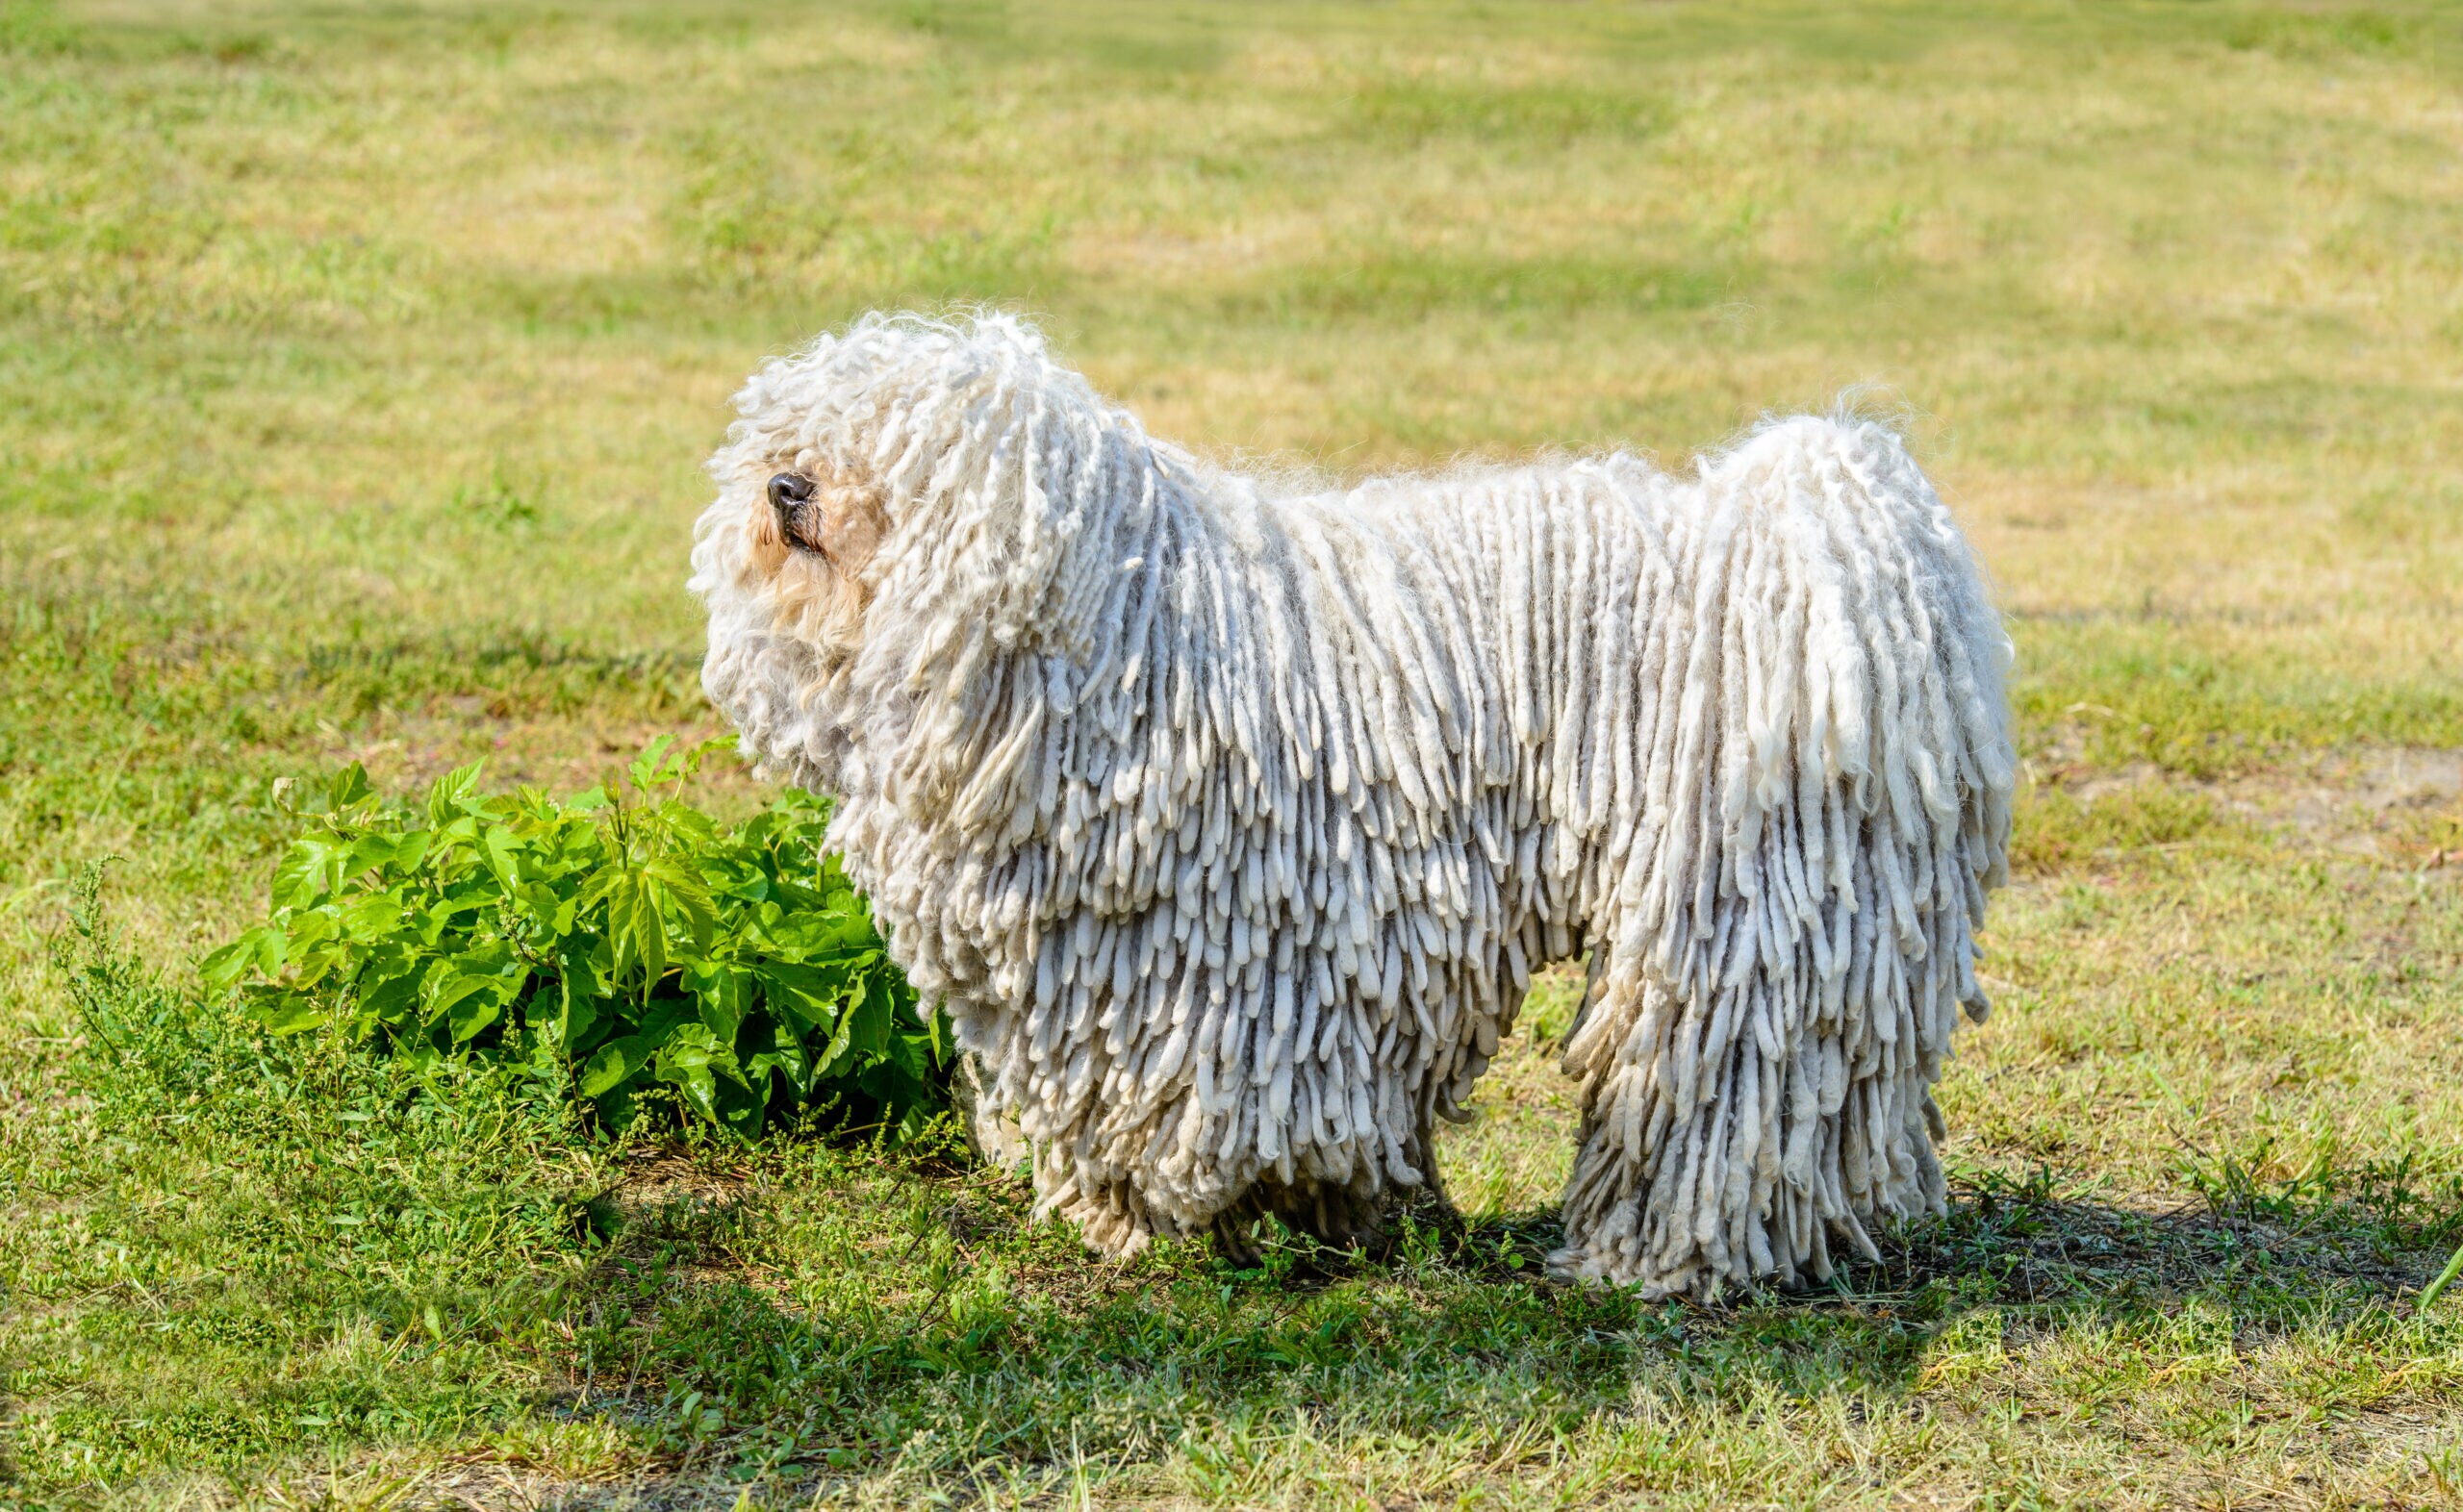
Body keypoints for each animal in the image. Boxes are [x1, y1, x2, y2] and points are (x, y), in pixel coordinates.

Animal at [684, 311, 2009, 1299]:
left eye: (898, 454)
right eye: (797, 430)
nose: (786, 485)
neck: (1110, 632)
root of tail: (1835, 545)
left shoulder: (1226, 958)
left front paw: (1194, 1221)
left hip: (1734, 909)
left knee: (1716, 1087)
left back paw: (1658, 1259)